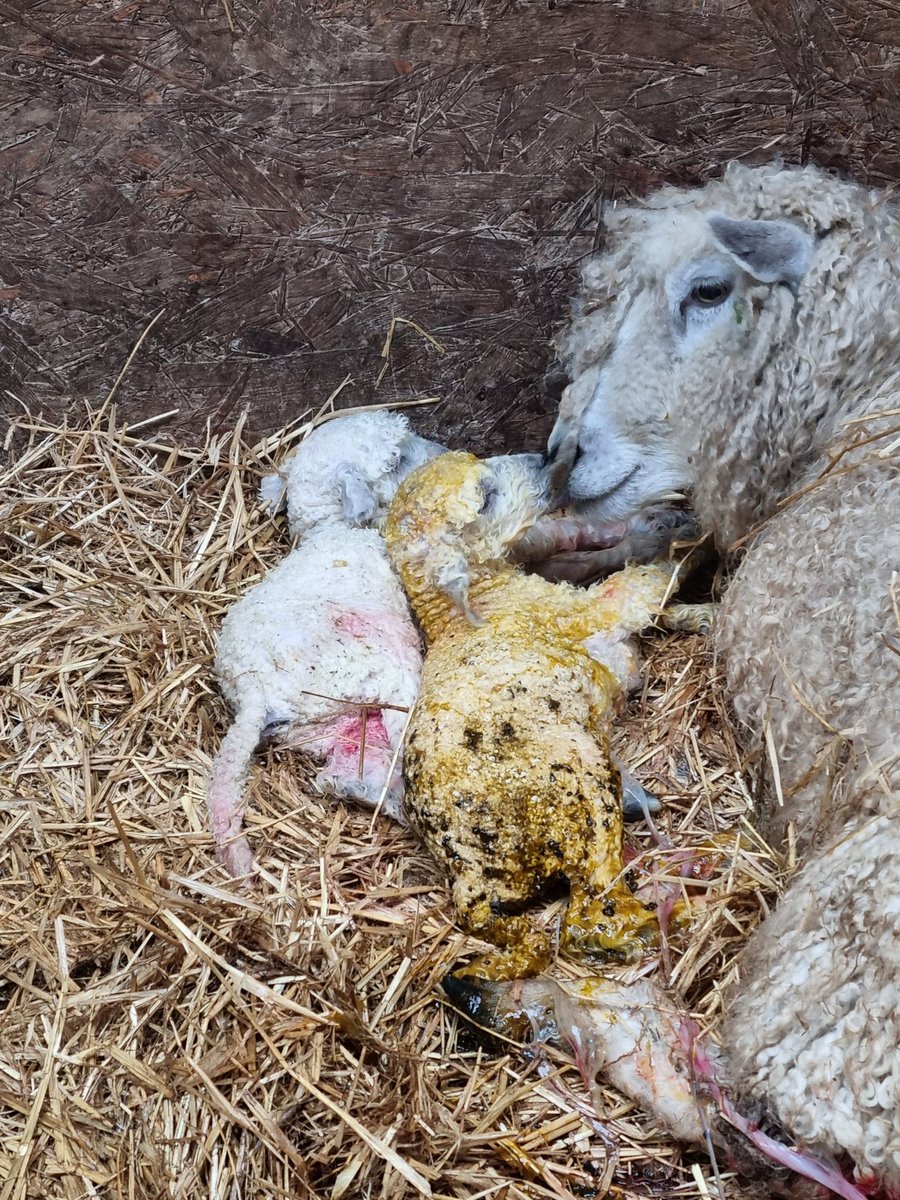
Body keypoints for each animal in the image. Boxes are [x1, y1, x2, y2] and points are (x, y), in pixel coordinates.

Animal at [208, 410, 442, 877]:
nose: (443, 454)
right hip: (373, 661)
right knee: (395, 748)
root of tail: (250, 692)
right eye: (397, 458)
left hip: (325, 727)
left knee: (343, 775)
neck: (334, 533)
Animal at [383, 449, 712, 981]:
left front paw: (702, 612)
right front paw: (692, 536)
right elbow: (641, 584)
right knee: (587, 911)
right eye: (485, 497)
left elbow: (652, 604)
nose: (544, 459)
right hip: (576, 788)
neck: (480, 605)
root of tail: (472, 881)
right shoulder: (582, 613)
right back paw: (661, 918)